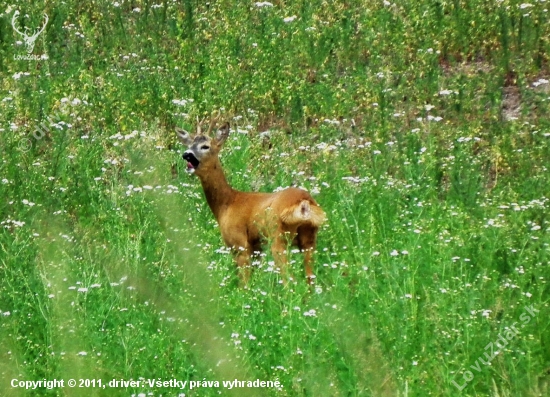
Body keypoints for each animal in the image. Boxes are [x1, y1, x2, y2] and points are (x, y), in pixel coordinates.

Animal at [177, 120, 326, 284]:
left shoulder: (239, 243)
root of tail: (304, 202)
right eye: (189, 144)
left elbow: (245, 283)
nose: (186, 154)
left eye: (205, 146)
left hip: (278, 237)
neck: (227, 203)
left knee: (289, 278)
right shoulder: (256, 248)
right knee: (310, 278)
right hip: (309, 239)